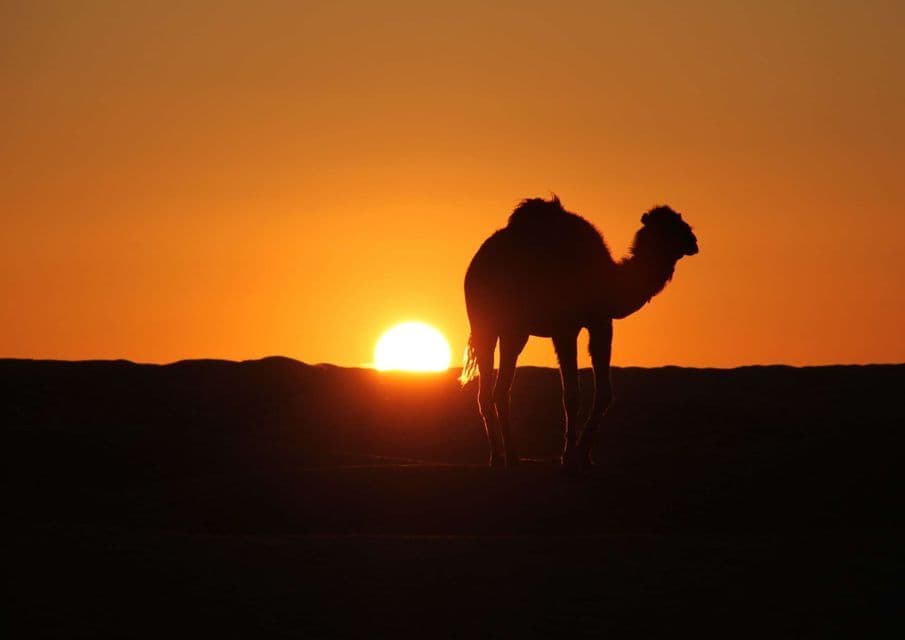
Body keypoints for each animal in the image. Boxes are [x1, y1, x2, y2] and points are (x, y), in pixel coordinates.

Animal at [461, 196, 698, 469]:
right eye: (667, 226)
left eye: (679, 220)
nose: (693, 241)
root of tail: (475, 264)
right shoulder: (565, 328)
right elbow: (572, 394)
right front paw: (569, 456)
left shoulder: (601, 322)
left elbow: (604, 392)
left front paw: (585, 455)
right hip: (484, 323)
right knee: (487, 389)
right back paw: (499, 457)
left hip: (515, 331)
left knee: (500, 390)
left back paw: (511, 455)